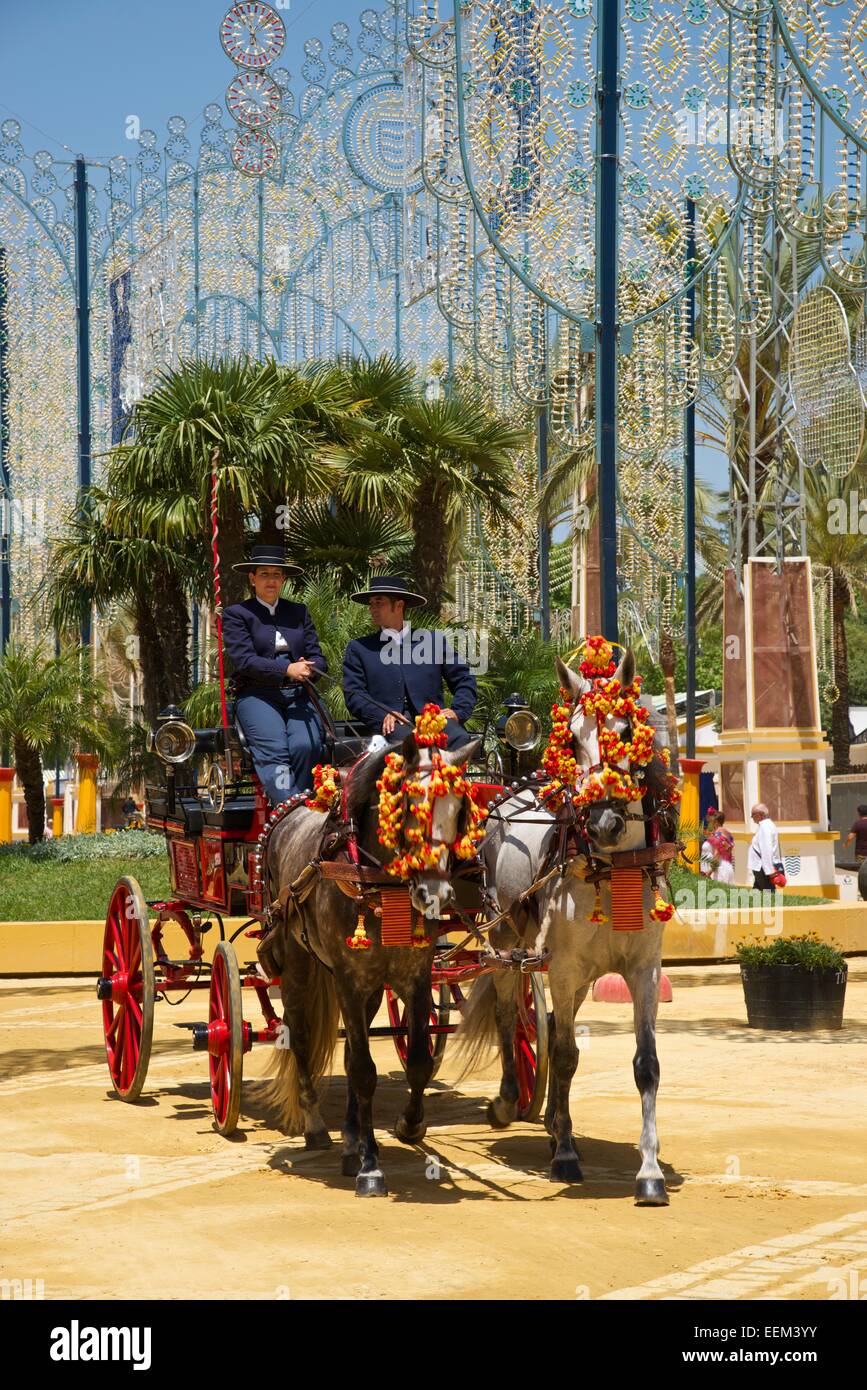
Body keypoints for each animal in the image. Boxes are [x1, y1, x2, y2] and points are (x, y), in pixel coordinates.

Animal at [461, 650, 678, 1206]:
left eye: (626, 731)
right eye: (573, 740)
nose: (602, 822)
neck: (611, 867)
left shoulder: (644, 970)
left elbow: (646, 1064)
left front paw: (649, 1172)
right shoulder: (560, 969)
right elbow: (561, 1055)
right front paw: (563, 1156)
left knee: (557, 1023)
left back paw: (555, 1122)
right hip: (507, 942)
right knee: (507, 1010)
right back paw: (509, 1102)